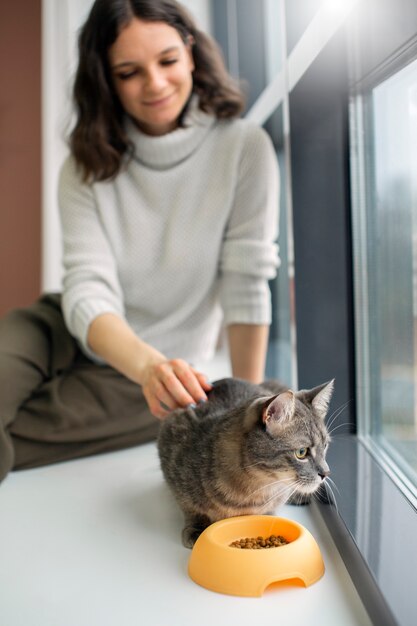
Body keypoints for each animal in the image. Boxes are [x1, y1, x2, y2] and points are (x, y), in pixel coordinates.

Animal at [158, 376, 334, 544]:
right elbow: (190, 508)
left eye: (325, 445)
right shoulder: (172, 436)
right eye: (301, 452)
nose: (326, 473)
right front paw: (197, 527)